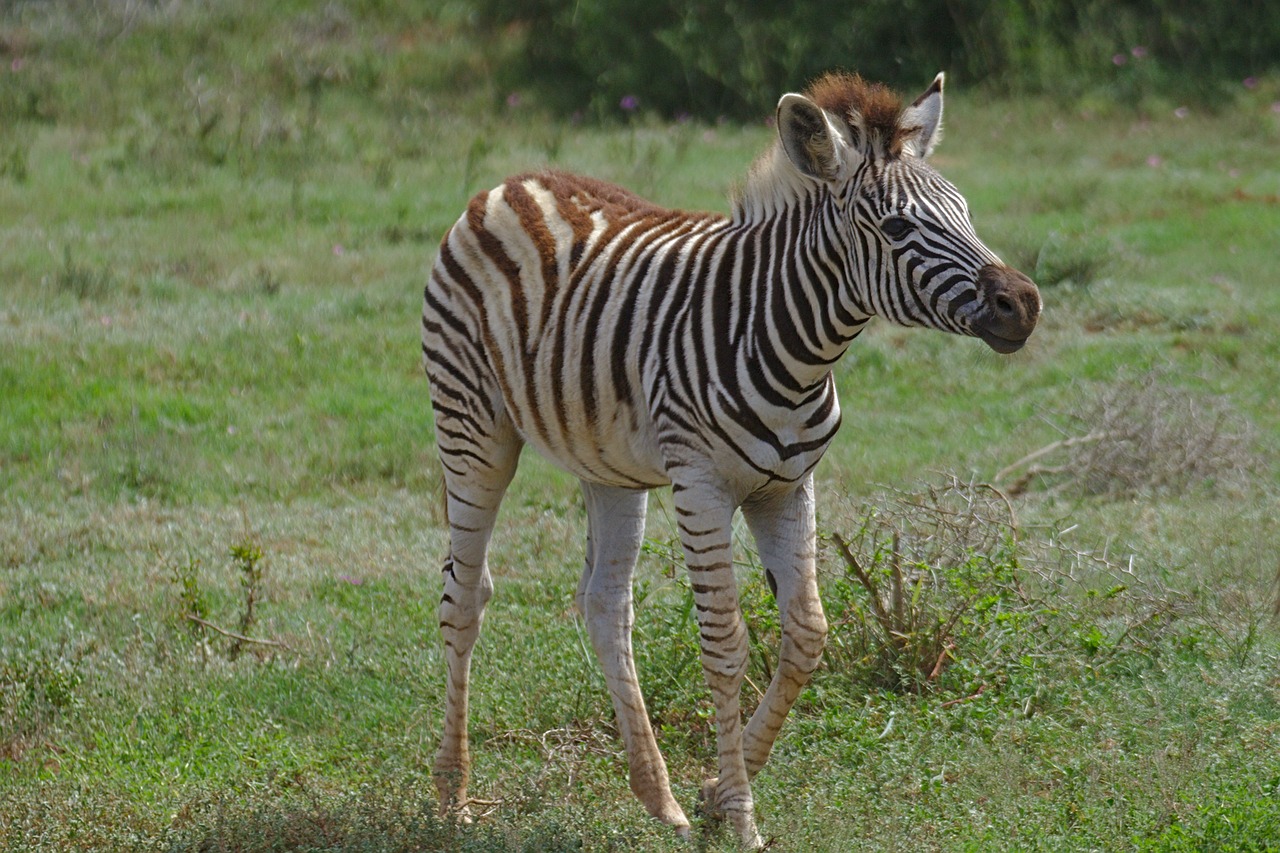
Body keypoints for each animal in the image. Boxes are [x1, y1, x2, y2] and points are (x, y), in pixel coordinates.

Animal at [421, 71, 1040, 847]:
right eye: (898, 229)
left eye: (965, 213)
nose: (1023, 302)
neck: (791, 346)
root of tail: (512, 182)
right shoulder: (703, 486)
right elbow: (726, 645)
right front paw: (742, 815)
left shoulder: (789, 487)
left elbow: (807, 634)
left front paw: (716, 792)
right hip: (473, 427)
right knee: (464, 597)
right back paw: (453, 794)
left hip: (610, 465)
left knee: (604, 602)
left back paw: (657, 795)